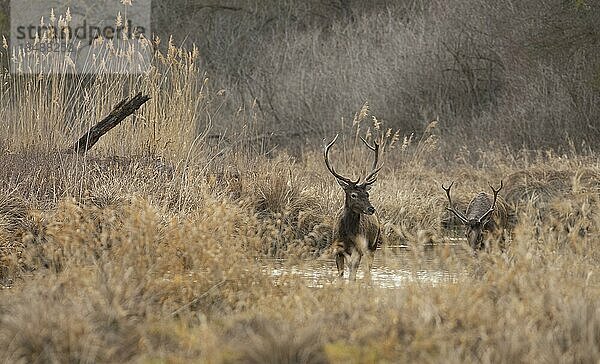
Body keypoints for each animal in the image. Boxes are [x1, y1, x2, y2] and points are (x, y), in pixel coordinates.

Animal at [326, 135, 382, 280]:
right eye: (353, 195)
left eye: (367, 194)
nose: (371, 209)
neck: (347, 234)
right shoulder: (337, 250)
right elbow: (341, 275)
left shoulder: (358, 249)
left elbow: (352, 275)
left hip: (373, 245)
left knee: (367, 270)